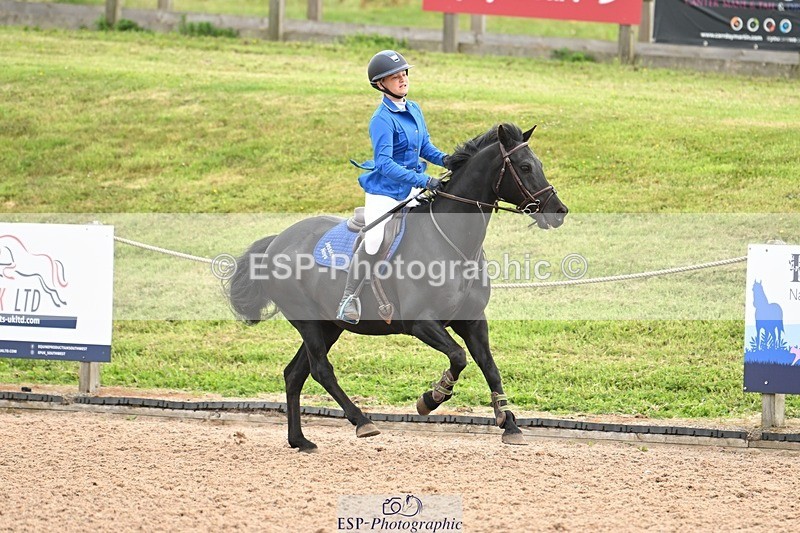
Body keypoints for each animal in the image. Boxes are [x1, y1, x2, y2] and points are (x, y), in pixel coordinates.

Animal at [226, 123, 568, 452]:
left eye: (538, 164)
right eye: (525, 167)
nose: (558, 210)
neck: (454, 243)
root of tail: (277, 241)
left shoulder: (473, 320)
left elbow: (489, 367)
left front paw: (509, 424)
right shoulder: (421, 322)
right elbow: (458, 357)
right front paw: (432, 398)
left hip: (328, 325)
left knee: (295, 374)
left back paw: (300, 440)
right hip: (308, 321)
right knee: (321, 369)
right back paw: (362, 421)